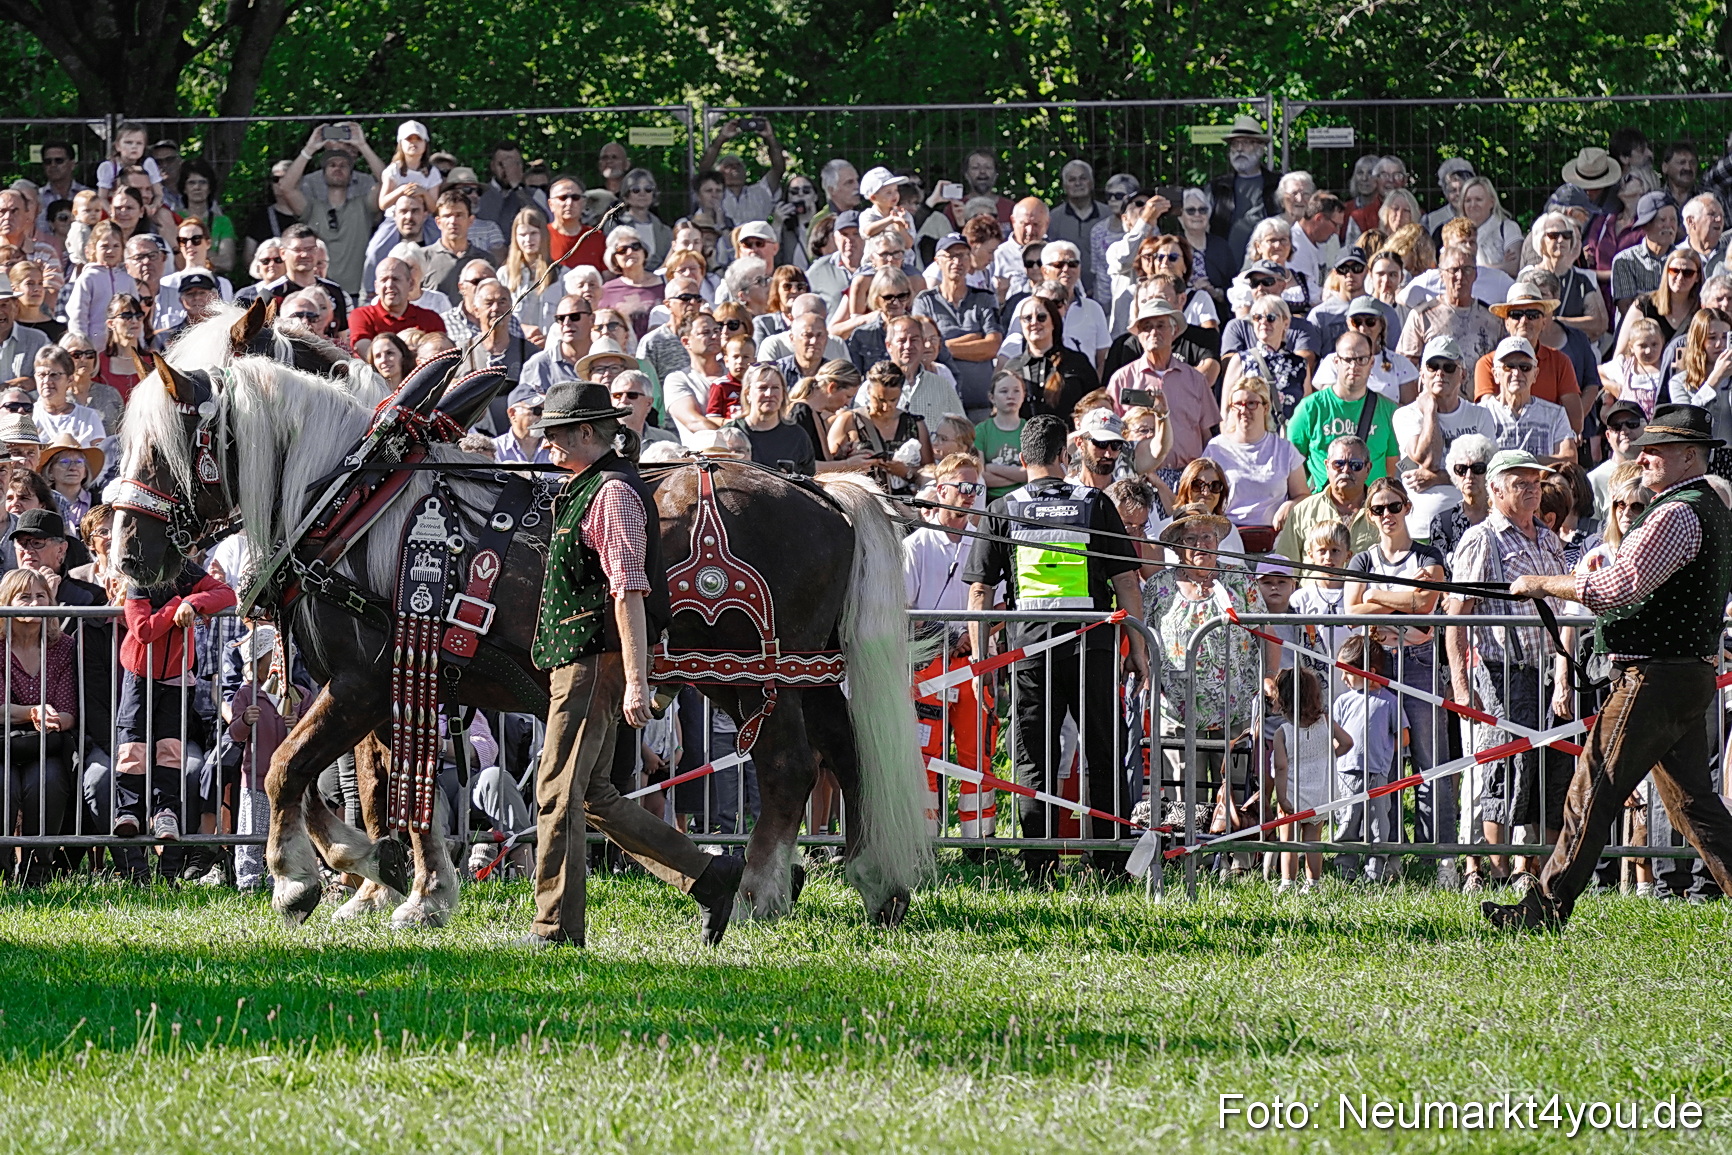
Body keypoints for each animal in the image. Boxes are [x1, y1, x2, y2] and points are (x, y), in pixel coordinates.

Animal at [113, 340, 930, 931]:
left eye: (164, 451)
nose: (125, 556)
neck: (351, 505)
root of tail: (823, 491)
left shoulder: (361, 683)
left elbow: (290, 768)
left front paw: (297, 883)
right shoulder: (392, 686)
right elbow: (377, 788)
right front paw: (405, 885)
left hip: (747, 670)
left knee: (791, 765)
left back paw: (761, 890)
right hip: (803, 670)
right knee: (846, 752)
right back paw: (871, 882)